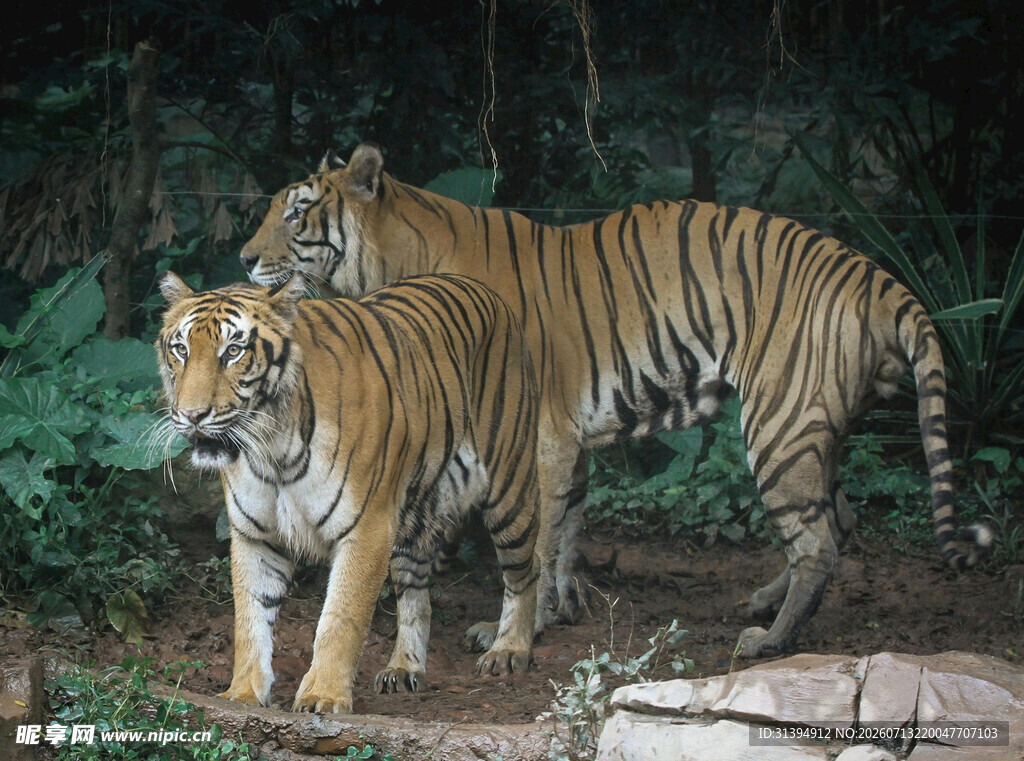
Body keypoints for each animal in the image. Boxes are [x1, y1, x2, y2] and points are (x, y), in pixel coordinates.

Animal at [156, 271, 541, 712]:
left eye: (233, 351)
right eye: (181, 350)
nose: (192, 415)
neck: (271, 447)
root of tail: (481, 287)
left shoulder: (366, 529)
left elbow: (341, 617)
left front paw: (322, 695)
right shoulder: (255, 535)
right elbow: (250, 619)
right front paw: (243, 693)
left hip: (510, 490)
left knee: (526, 572)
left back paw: (509, 650)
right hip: (413, 517)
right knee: (415, 594)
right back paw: (404, 667)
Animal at [237, 142, 991, 659]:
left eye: (297, 213)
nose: (244, 259)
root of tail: (876, 276)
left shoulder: (534, 438)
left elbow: (535, 541)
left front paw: (520, 627)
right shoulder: (568, 441)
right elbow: (567, 530)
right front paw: (563, 608)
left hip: (781, 422)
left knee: (818, 540)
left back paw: (770, 639)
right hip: (814, 430)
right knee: (842, 517)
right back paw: (765, 603)